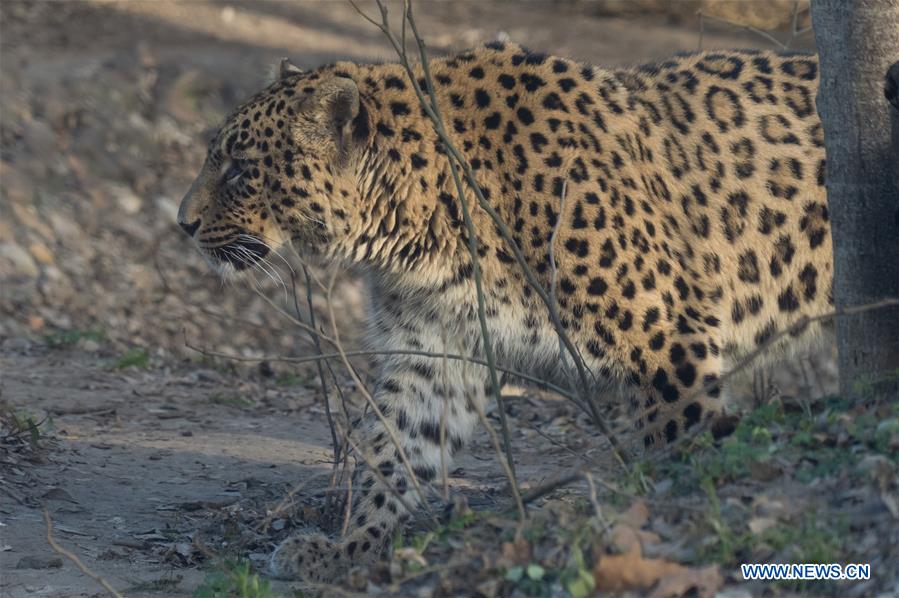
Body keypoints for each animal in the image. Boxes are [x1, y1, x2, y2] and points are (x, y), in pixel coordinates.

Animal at [178, 41, 836, 580]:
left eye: (239, 168)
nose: (182, 224)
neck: (422, 224)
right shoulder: (434, 353)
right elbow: (394, 450)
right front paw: (351, 548)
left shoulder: (667, 341)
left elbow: (680, 437)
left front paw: (682, 513)